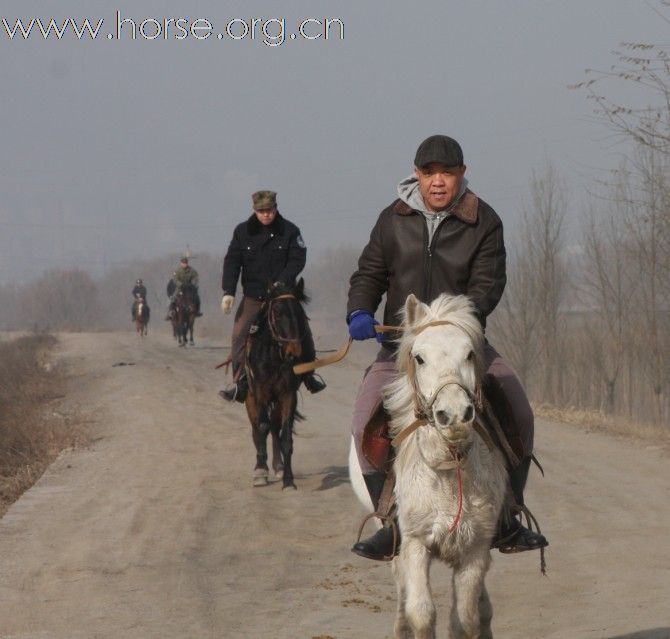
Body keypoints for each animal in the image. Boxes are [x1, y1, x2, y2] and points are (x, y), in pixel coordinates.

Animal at [244, 278, 312, 490]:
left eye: (299, 312)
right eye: (277, 312)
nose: (294, 353)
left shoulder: (288, 394)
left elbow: (286, 437)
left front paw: (288, 480)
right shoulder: (260, 392)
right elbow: (262, 427)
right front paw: (260, 471)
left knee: (275, 427)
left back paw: (278, 466)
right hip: (250, 397)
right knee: (257, 428)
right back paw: (262, 465)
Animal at [352, 296, 510, 639]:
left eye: (470, 354)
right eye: (420, 358)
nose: (455, 416)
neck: (447, 467)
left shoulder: (475, 548)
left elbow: (465, 618)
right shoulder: (414, 543)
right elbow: (422, 613)